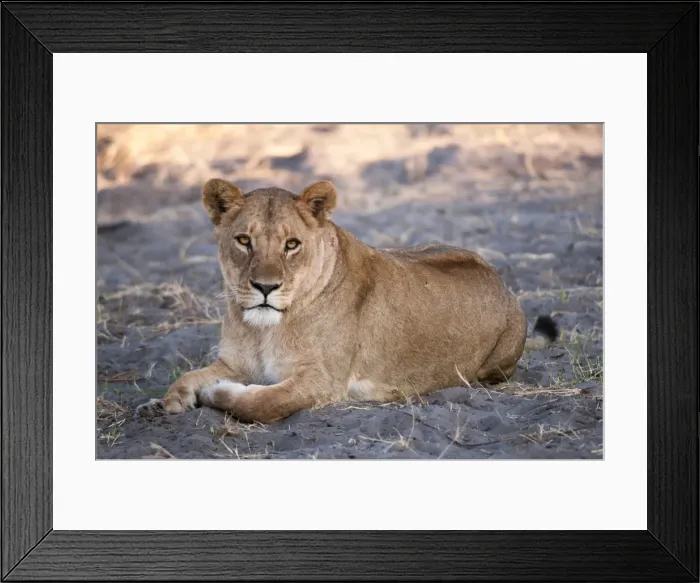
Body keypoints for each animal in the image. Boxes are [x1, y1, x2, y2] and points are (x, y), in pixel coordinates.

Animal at [136, 179, 558, 423]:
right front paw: (163, 402)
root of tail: (503, 285)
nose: (265, 287)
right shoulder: (235, 363)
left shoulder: (323, 381)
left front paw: (216, 394)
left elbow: (263, 404)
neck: (265, 330)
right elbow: (187, 376)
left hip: (492, 368)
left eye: (292, 245)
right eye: (244, 240)